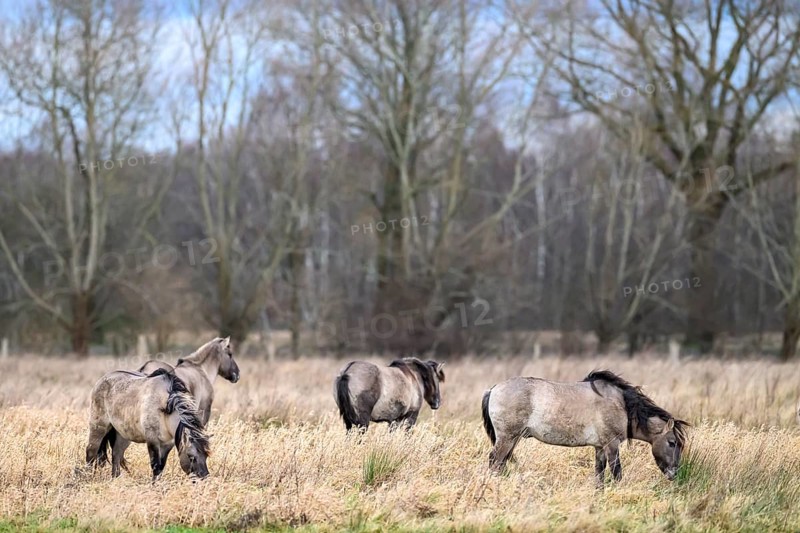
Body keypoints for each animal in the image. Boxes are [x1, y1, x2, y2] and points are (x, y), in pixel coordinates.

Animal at [481, 370, 688, 487]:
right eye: (672, 442)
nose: (674, 473)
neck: (621, 405)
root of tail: (493, 389)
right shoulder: (612, 445)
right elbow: (617, 473)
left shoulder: (600, 447)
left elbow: (599, 475)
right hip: (507, 438)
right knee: (494, 461)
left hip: (512, 440)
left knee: (500, 463)